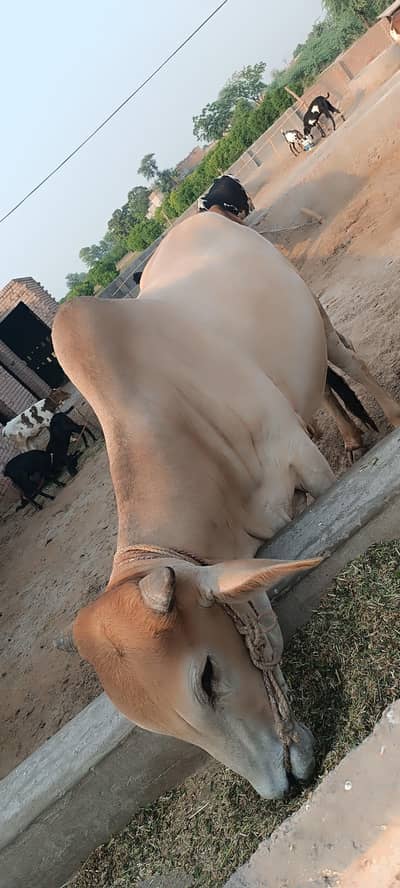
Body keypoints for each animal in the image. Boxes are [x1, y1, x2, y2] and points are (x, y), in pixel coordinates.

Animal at [52, 192, 400, 800]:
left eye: (209, 676)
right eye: (165, 729)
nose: (279, 786)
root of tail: (204, 215)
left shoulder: (302, 462)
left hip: (318, 317)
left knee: (349, 362)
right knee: (323, 392)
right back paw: (354, 438)